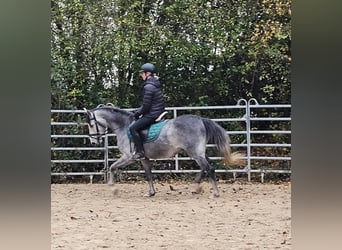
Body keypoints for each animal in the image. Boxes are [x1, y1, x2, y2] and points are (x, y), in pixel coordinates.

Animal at [85, 103, 246, 197]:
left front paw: (113, 188)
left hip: (195, 153)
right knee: (206, 166)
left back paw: (215, 193)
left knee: (209, 168)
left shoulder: (128, 157)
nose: (93, 142)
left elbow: (112, 167)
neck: (124, 126)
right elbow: (149, 175)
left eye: (91, 124)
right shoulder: (144, 158)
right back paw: (196, 187)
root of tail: (200, 119)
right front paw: (151, 193)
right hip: (197, 152)